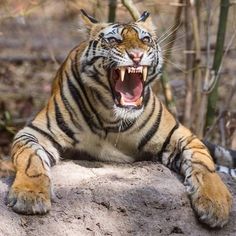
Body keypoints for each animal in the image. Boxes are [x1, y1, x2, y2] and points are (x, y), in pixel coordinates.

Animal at [6, 9, 235, 229]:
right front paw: (30, 195)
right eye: (113, 40)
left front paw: (216, 204)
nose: (136, 56)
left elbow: (204, 163)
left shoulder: (182, 136)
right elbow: (30, 158)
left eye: (145, 39)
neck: (112, 118)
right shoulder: (35, 132)